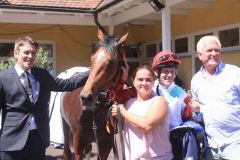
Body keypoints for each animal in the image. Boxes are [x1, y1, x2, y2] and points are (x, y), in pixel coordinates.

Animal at [59, 29, 128, 160]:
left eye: (112, 62)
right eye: (92, 58)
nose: (86, 97)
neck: (95, 111)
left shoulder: (106, 143)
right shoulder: (78, 141)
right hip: (65, 126)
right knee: (66, 151)